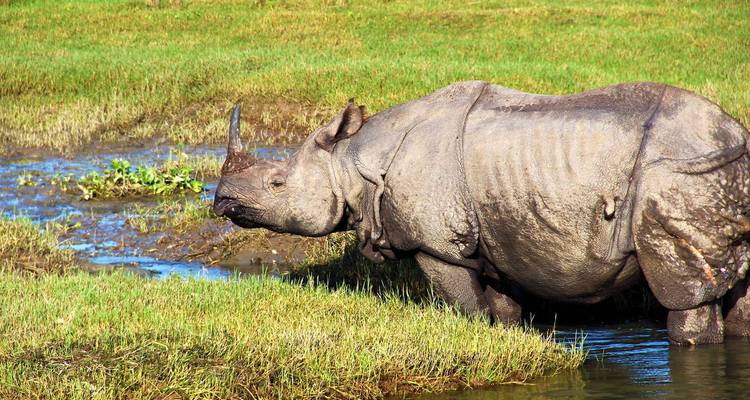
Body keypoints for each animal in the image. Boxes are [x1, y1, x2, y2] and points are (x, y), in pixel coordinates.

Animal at [214, 81, 750, 345]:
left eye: (276, 184)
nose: (221, 202)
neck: (352, 160)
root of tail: (733, 134)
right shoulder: (499, 237)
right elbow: (504, 309)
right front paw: (509, 340)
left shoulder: (437, 246)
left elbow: (469, 310)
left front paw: (475, 336)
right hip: (719, 173)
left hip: (679, 172)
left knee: (685, 292)